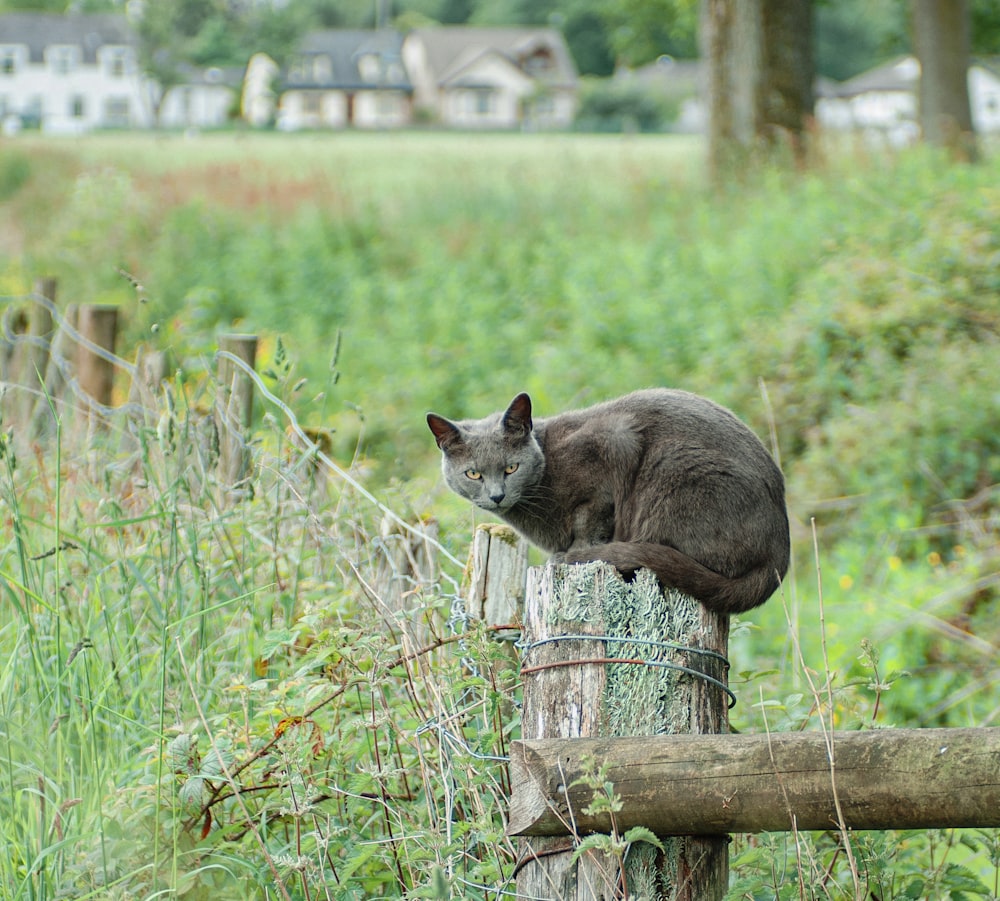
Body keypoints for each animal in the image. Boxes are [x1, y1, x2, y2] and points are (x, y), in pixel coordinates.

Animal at [428, 390, 788, 616]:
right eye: (473, 473)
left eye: (511, 468)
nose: (497, 495)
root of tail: (778, 559)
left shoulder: (614, 444)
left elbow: (590, 518)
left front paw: (576, 552)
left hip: (673, 468)